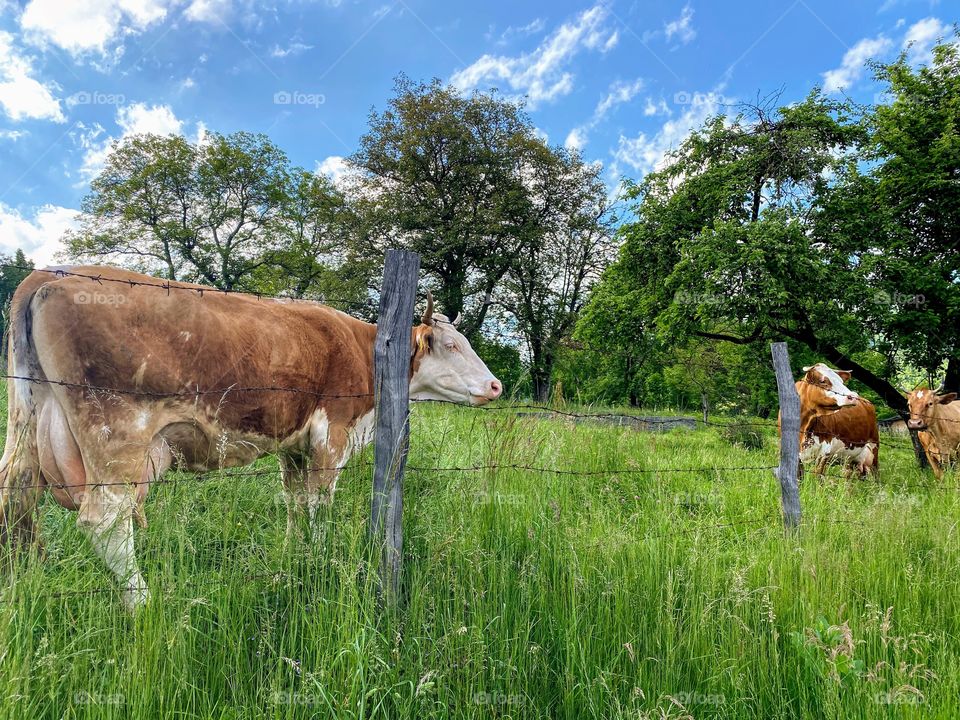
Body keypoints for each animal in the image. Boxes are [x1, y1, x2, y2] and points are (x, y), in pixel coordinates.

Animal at [0, 268, 506, 612]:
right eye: (452, 345)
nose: (496, 385)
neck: (368, 352)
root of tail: (49, 274)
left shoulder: (294, 446)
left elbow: (294, 503)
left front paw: (295, 555)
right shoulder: (332, 435)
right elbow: (320, 505)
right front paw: (319, 559)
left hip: (32, 431)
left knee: (16, 500)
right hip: (116, 437)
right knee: (105, 523)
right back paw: (143, 603)